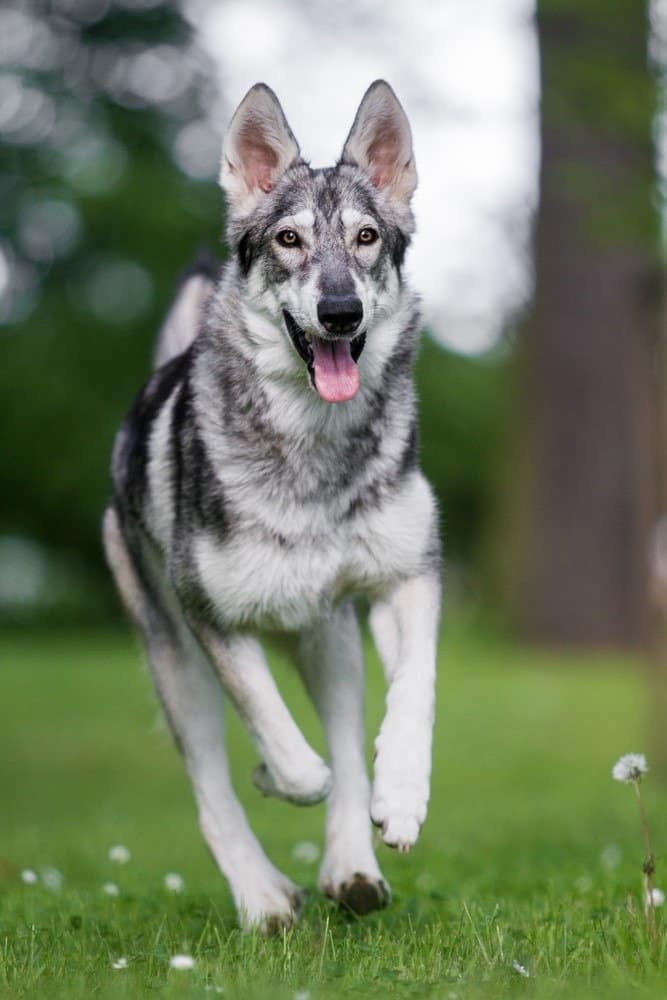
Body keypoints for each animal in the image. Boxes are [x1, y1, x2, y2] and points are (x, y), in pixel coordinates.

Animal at [102, 82, 440, 932]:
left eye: (365, 238)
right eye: (288, 240)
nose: (341, 311)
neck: (314, 452)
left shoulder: (409, 579)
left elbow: (410, 699)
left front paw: (400, 797)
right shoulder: (211, 617)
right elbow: (289, 755)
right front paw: (274, 776)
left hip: (331, 645)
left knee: (348, 744)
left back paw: (351, 869)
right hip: (177, 665)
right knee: (213, 790)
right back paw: (262, 897)